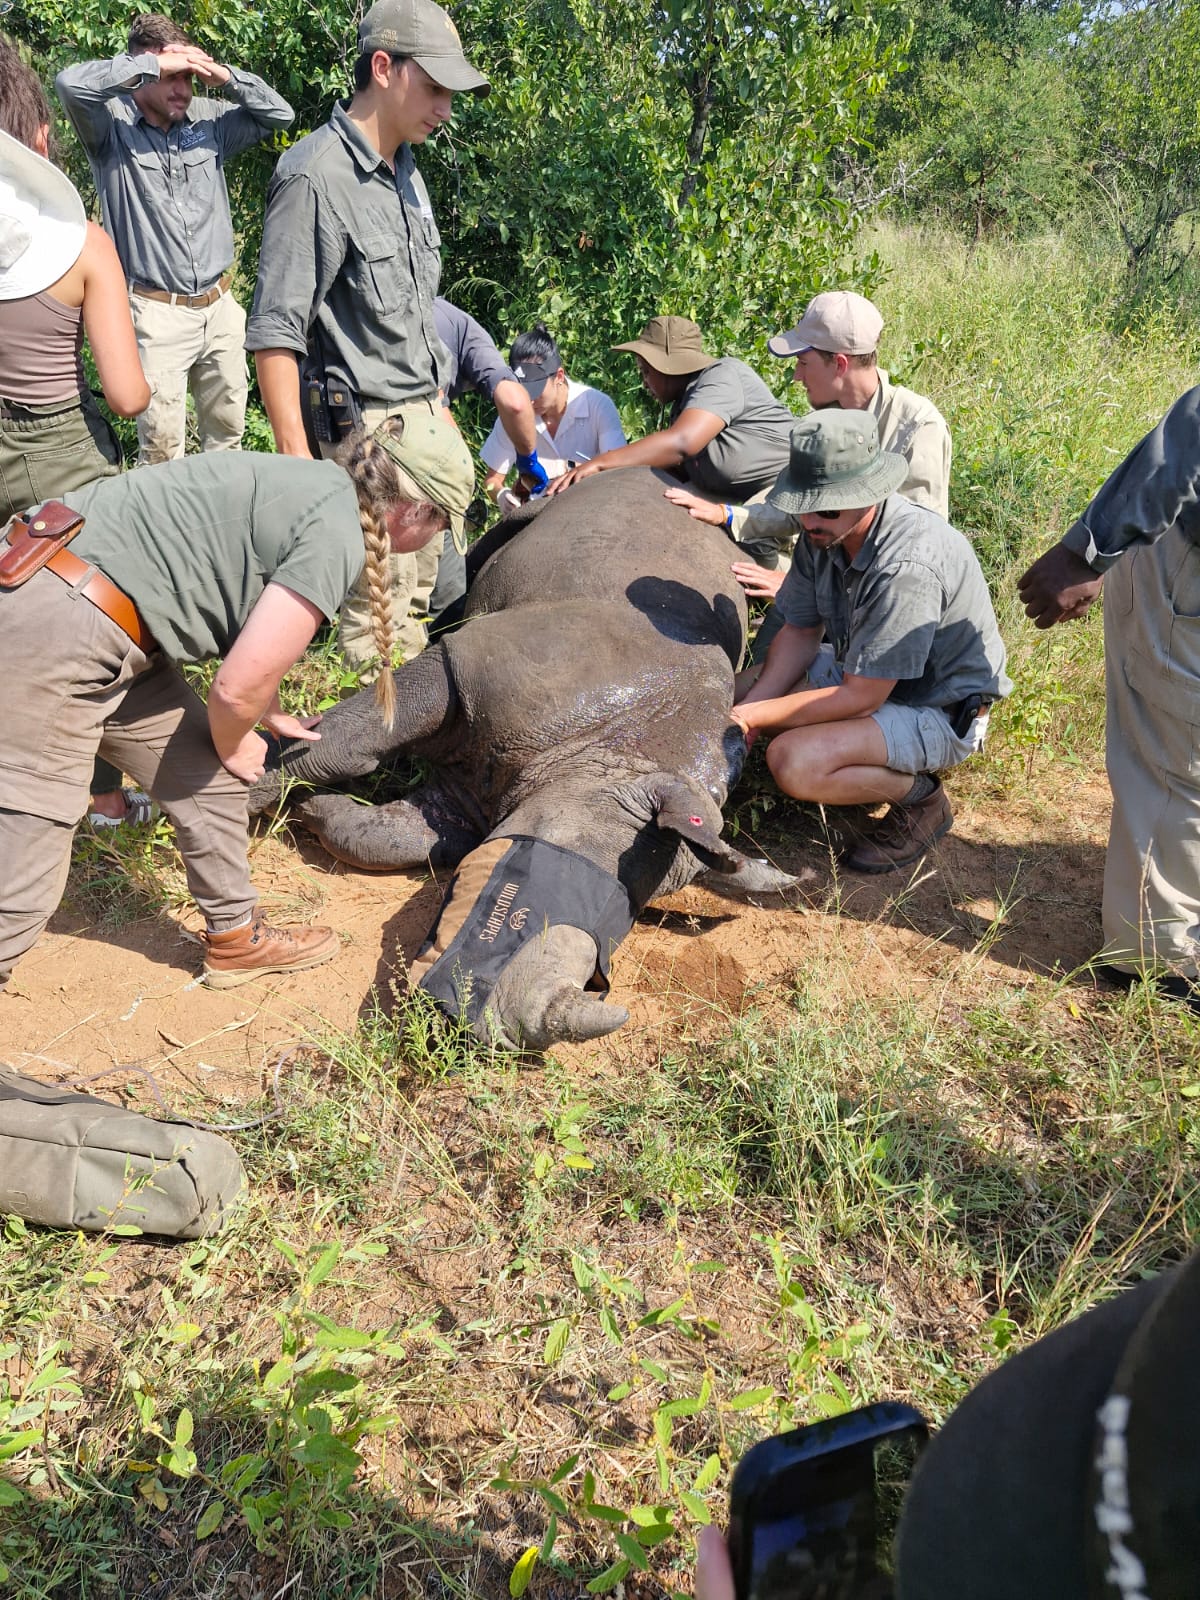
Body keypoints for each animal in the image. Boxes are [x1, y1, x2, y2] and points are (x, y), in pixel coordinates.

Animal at [251, 467, 798, 1049]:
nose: (493, 1031)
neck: (618, 756)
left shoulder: (482, 787)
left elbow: (407, 838)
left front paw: (316, 812)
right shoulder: (476, 670)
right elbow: (349, 739)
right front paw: (245, 785)